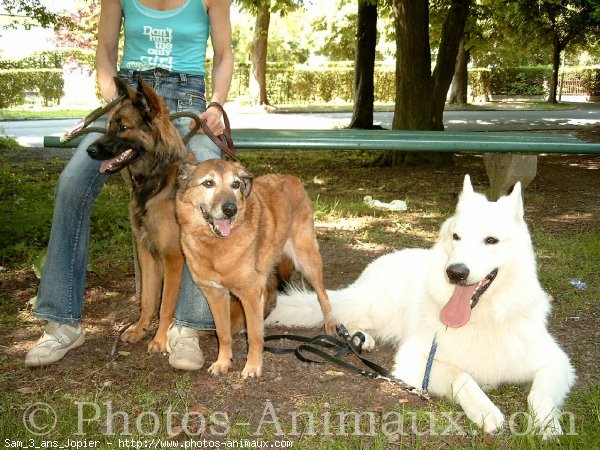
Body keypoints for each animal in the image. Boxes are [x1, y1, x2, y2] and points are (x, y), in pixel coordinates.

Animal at [175, 160, 338, 378]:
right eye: (208, 183)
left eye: (235, 184)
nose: (231, 209)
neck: (214, 246)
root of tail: (291, 177)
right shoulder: (215, 294)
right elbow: (223, 333)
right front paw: (223, 362)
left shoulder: (250, 293)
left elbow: (254, 337)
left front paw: (252, 366)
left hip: (307, 261)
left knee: (323, 295)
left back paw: (330, 327)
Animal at [268, 175, 576, 436]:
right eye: (456, 237)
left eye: (491, 240)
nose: (455, 272)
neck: (482, 318)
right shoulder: (414, 362)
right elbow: (461, 375)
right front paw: (484, 409)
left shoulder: (557, 361)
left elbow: (539, 393)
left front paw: (548, 424)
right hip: (379, 306)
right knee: (340, 317)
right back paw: (360, 337)